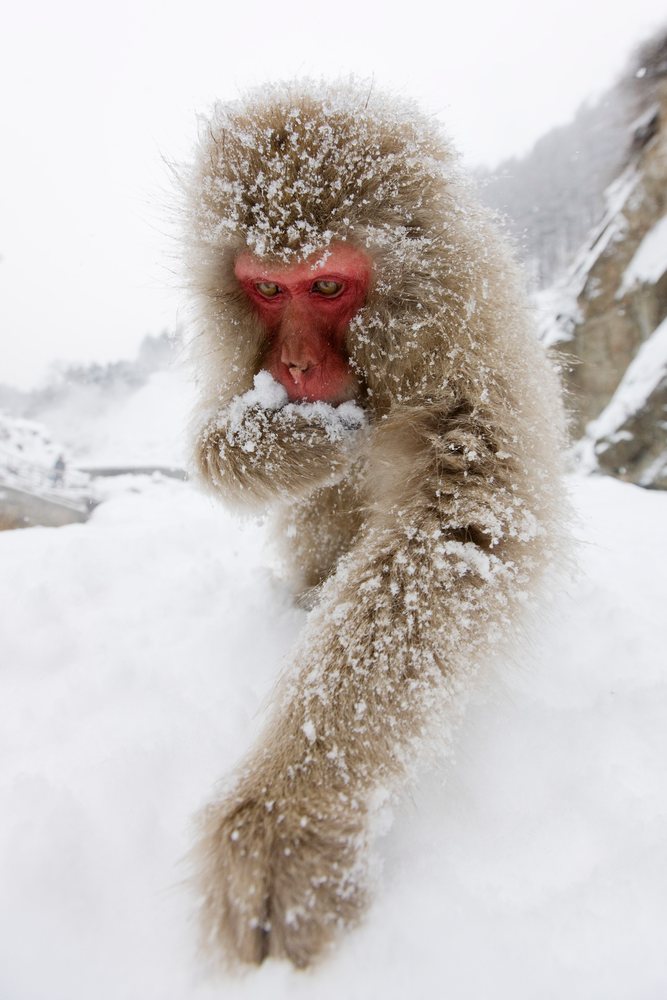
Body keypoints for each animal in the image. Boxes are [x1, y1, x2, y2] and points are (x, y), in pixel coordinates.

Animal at [182, 81, 566, 969]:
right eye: (267, 290)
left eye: (325, 288)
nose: (292, 366)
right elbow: (211, 445)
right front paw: (290, 440)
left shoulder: (462, 338)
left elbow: (463, 528)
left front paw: (287, 816)